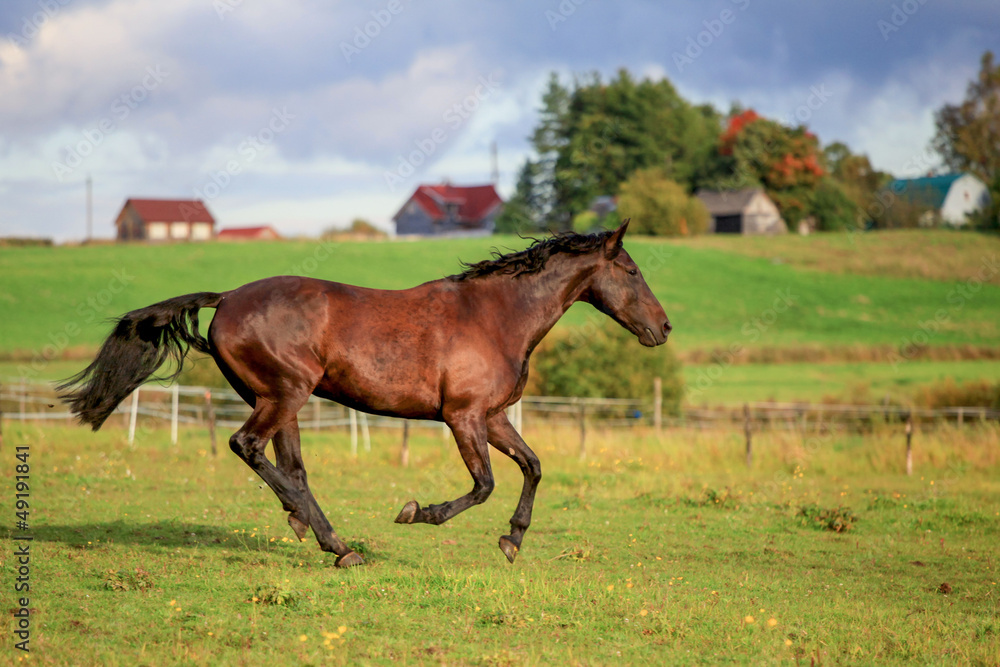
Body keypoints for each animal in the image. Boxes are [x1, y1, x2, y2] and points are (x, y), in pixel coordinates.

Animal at [58, 220, 671, 567]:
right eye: (633, 271)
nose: (663, 329)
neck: (496, 317)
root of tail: (227, 298)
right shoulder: (464, 417)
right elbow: (484, 485)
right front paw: (416, 512)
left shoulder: (494, 417)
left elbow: (533, 466)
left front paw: (512, 541)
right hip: (286, 394)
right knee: (248, 447)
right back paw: (327, 536)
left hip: (280, 400)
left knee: (288, 465)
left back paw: (319, 532)